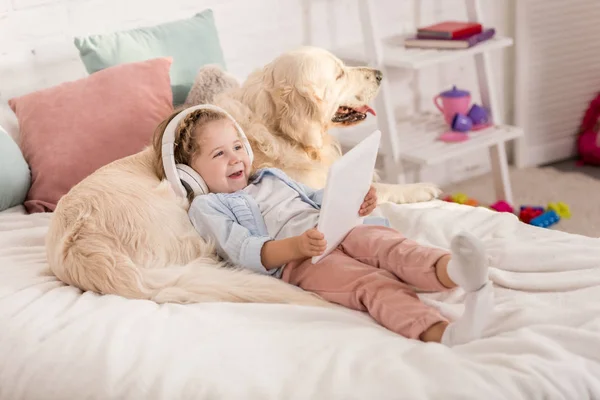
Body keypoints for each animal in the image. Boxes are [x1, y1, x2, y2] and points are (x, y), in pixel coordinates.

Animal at [45, 46, 440, 306]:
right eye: (339, 73)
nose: (379, 74)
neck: (274, 127)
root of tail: (82, 251)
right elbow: (381, 187)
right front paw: (422, 187)